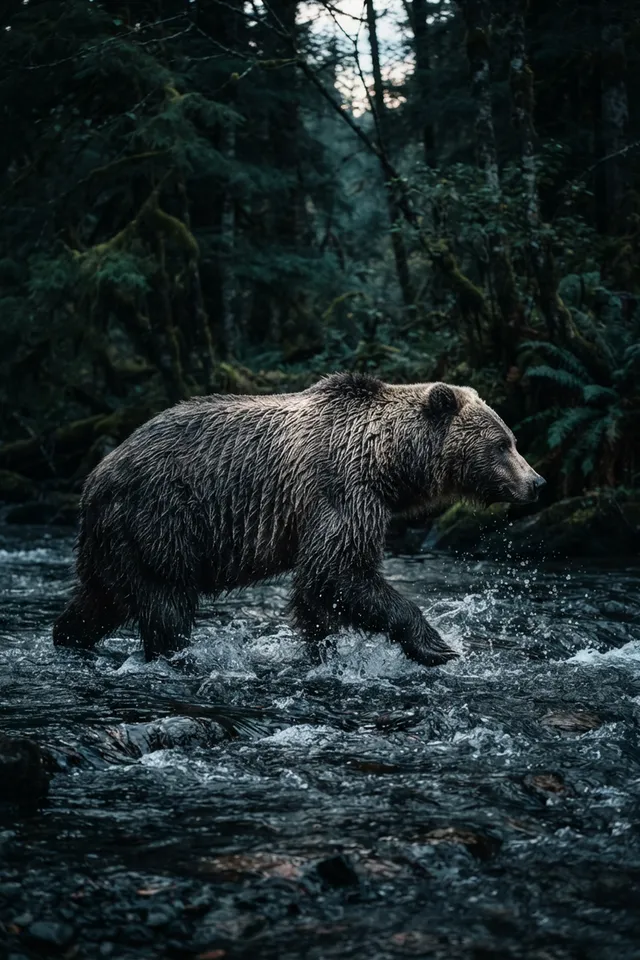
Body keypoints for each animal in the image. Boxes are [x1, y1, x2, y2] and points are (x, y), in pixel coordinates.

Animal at [53, 373, 545, 666]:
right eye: (503, 443)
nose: (537, 482)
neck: (388, 463)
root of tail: (95, 477)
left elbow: (318, 594)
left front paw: (322, 649)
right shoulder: (342, 492)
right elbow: (338, 571)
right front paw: (436, 644)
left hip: (113, 542)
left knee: (97, 600)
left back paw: (68, 639)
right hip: (162, 520)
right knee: (165, 602)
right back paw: (176, 655)